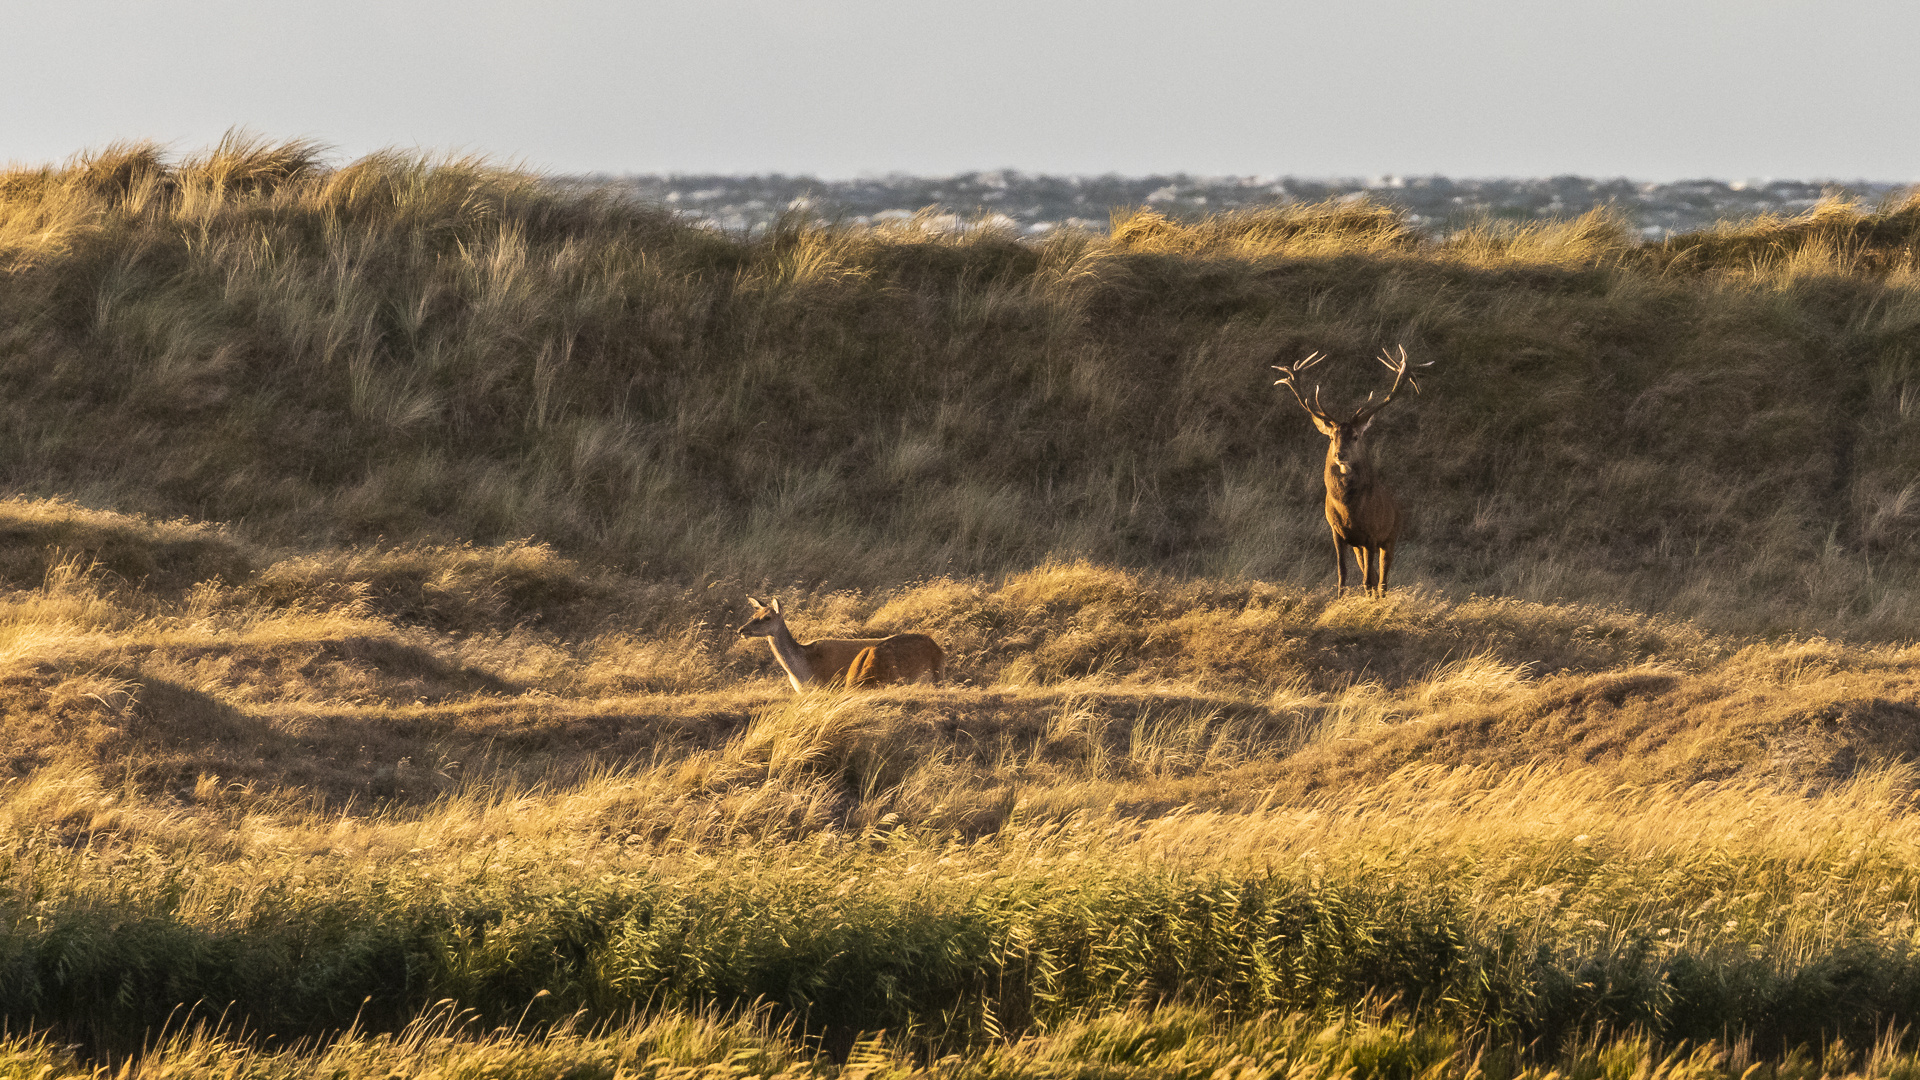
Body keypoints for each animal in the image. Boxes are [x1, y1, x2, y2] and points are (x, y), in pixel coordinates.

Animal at [1274, 345, 1428, 591]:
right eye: (1332, 437)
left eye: (1355, 436)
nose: (1340, 454)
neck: (1350, 512)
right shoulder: (1338, 534)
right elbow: (1342, 575)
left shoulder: (1372, 535)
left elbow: (1368, 581)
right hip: (1359, 546)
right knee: (1373, 575)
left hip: (1391, 536)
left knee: (1382, 580)